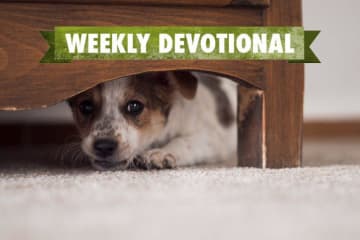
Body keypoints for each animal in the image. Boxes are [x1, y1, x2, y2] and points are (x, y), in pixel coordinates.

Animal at [68, 71, 238, 171]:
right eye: (86, 106)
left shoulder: (212, 137)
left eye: (135, 106)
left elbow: (185, 141)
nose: (104, 146)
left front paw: (162, 153)